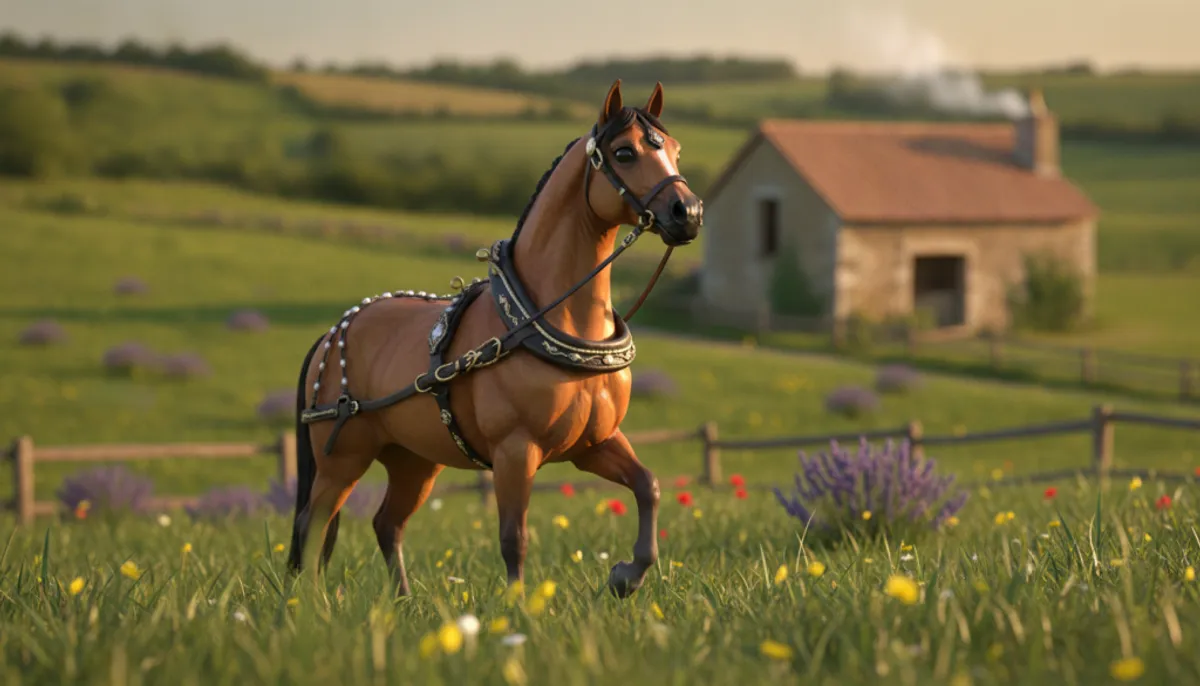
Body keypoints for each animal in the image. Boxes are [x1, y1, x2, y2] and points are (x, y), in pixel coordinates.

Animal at [285, 79, 704, 599]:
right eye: (624, 152)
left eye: (675, 149)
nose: (688, 213)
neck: (544, 321)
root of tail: (333, 333)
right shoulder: (515, 452)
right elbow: (513, 537)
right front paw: (519, 607)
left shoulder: (594, 444)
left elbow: (648, 486)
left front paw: (626, 575)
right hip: (344, 458)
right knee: (313, 523)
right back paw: (312, 604)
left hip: (414, 460)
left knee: (387, 523)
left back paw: (403, 601)